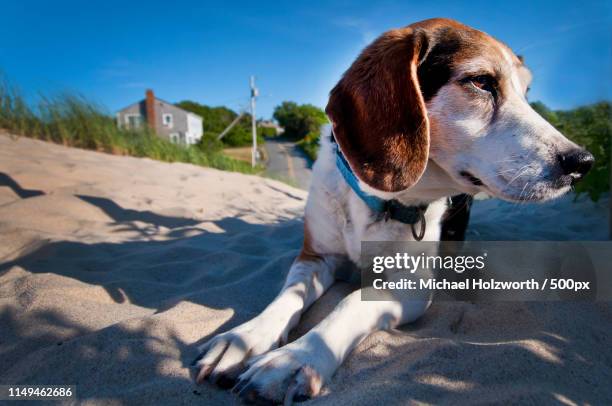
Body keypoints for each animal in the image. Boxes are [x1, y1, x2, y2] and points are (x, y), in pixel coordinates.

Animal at [192, 18, 592, 402]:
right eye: (481, 82)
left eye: (526, 93)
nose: (582, 162)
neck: (382, 203)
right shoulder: (315, 256)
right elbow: (287, 295)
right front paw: (245, 339)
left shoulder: (413, 286)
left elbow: (350, 302)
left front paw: (295, 359)